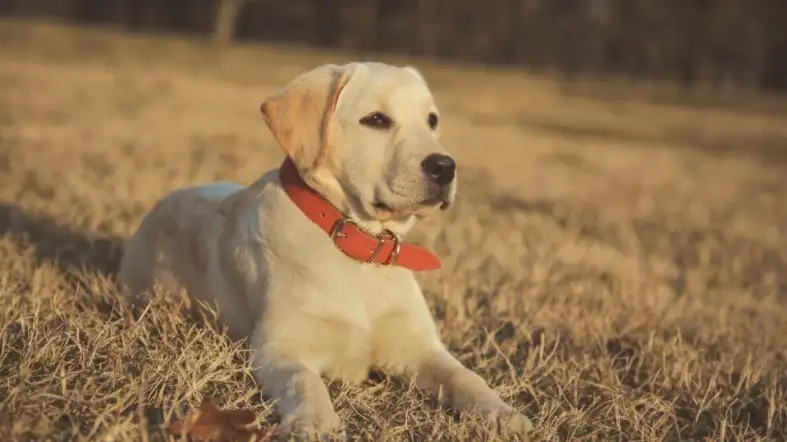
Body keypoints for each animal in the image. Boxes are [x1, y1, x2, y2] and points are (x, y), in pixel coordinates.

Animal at [117, 61, 536, 438]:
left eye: (431, 120)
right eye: (377, 120)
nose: (445, 167)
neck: (360, 252)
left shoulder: (419, 346)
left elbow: (465, 376)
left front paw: (503, 413)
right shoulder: (278, 348)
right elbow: (304, 381)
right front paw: (314, 421)